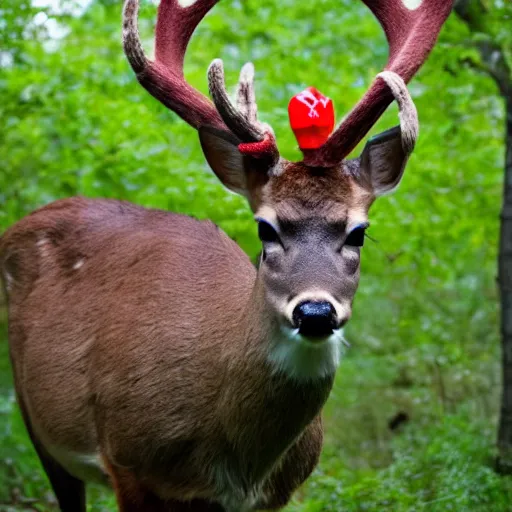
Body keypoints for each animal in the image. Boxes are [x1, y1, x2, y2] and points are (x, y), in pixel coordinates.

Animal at [1, 0, 452, 510]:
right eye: (265, 228)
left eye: (358, 233)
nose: (315, 312)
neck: (235, 461)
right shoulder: (127, 463)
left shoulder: (279, 491)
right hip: (36, 421)